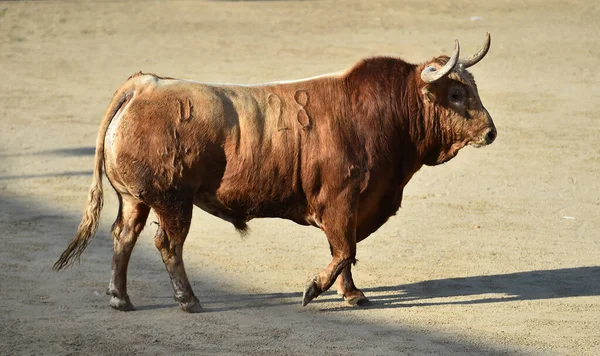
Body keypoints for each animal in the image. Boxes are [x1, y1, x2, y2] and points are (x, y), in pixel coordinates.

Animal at [55, 33, 496, 312]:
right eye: (457, 93)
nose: (491, 132)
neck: (382, 114)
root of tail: (145, 85)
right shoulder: (340, 199)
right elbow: (345, 249)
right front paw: (314, 289)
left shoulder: (352, 206)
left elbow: (346, 252)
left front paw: (352, 294)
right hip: (173, 201)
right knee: (168, 244)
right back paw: (189, 300)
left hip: (135, 199)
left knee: (124, 237)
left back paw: (120, 298)